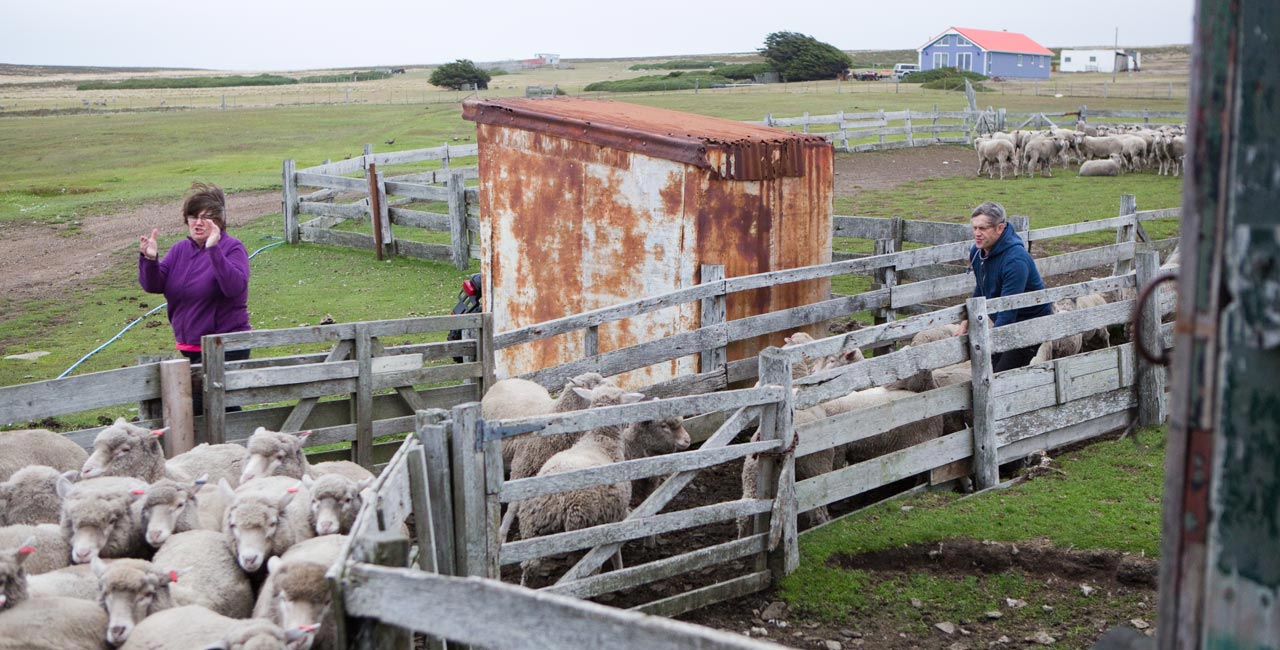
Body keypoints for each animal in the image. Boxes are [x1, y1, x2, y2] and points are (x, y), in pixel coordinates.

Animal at [514, 383, 645, 586]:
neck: (600, 440)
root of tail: (557, 500)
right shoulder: (616, 514)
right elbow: (615, 550)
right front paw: (620, 572)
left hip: (531, 528)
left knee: (529, 566)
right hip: (585, 530)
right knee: (590, 568)